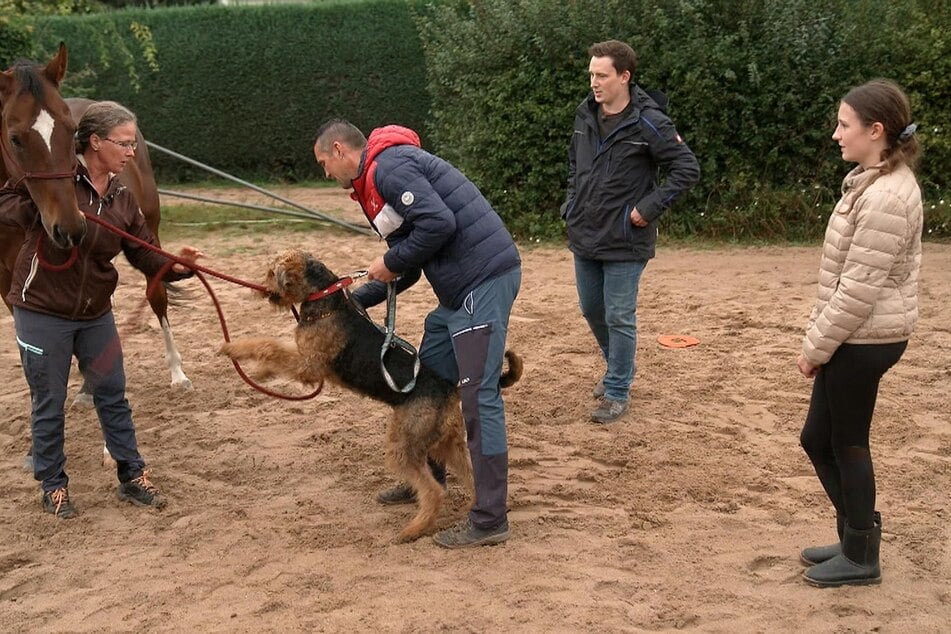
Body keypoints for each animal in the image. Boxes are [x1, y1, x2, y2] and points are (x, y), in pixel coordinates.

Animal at [0, 43, 193, 396]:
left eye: (71, 130)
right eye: (15, 138)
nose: (69, 228)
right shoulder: (7, 281)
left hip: (150, 231)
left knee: (156, 295)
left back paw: (177, 372)